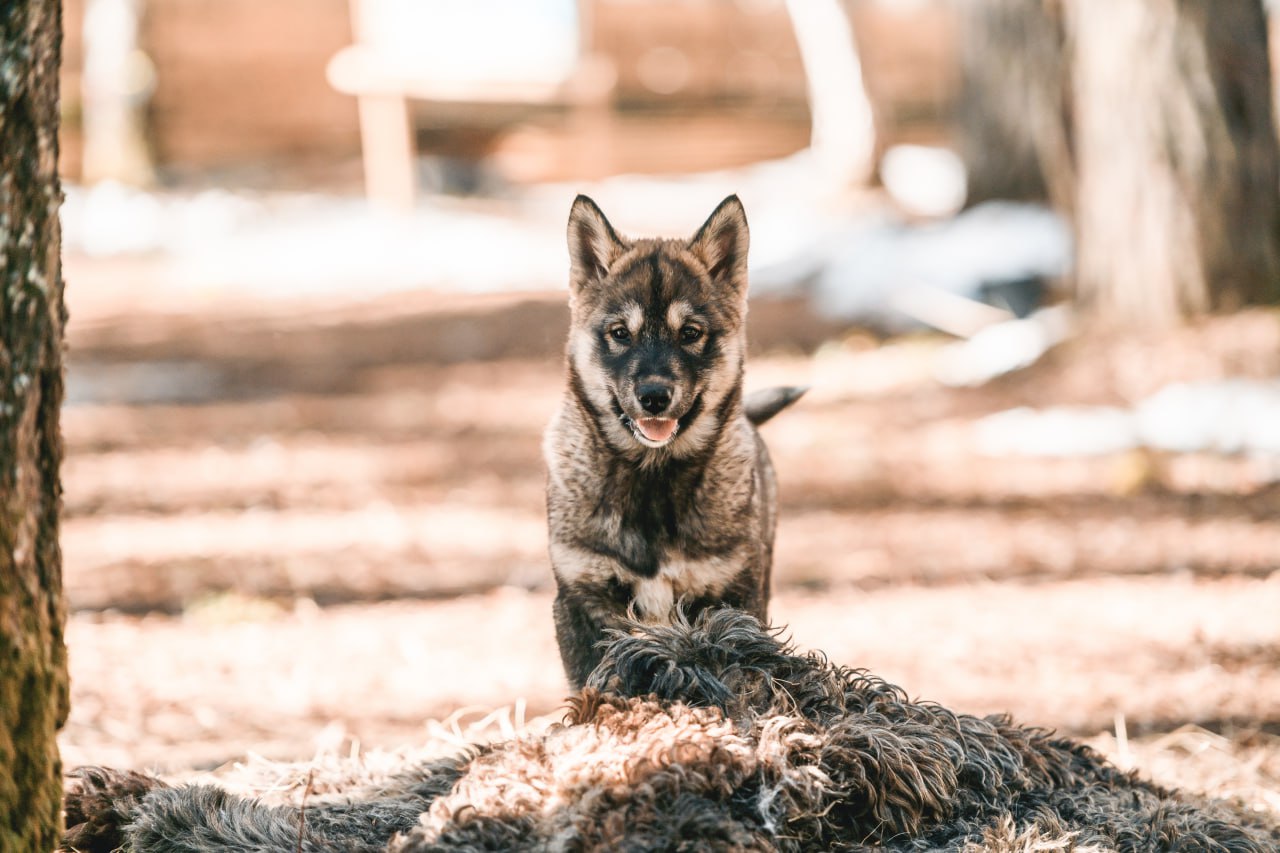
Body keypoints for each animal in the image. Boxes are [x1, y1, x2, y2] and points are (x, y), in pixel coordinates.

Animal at [545, 190, 803, 686]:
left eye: (690, 333)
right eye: (620, 334)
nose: (653, 396)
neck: (651, 479)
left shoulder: (734, 598)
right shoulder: (580, 599)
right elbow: (591, 684)